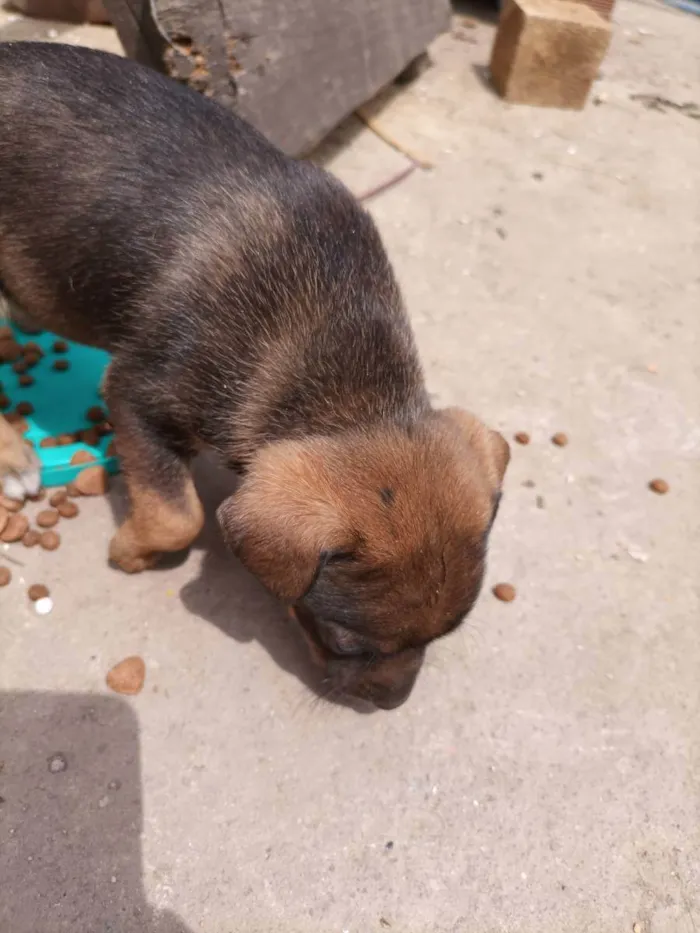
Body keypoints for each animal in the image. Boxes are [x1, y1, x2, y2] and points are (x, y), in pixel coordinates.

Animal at [0, 40, 512, 704]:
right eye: (344, 640)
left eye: (445, 634)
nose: (391, 703)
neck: (342, 383)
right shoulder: (138, 394)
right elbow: (179, 516)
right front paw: (132, 551)